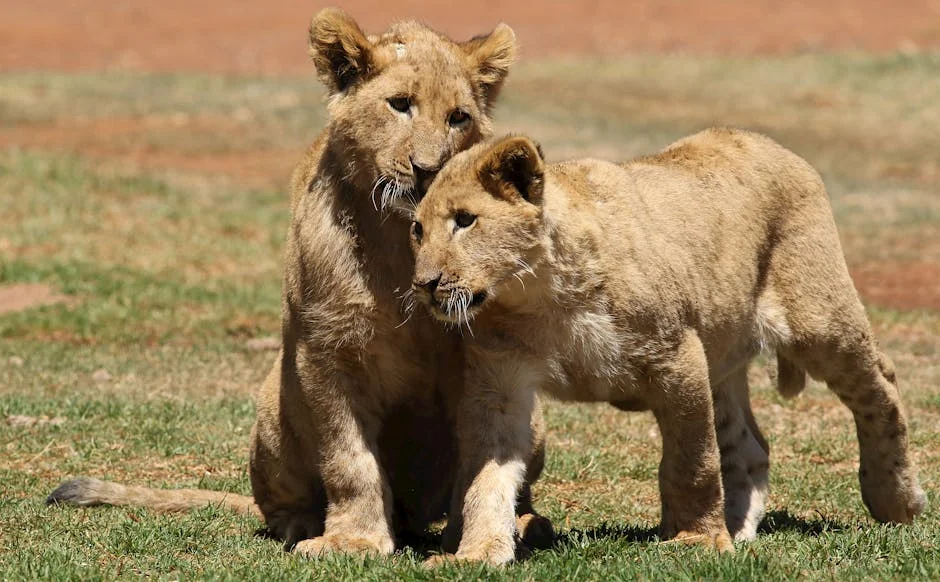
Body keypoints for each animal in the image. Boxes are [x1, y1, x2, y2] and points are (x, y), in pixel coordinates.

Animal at [46, 9, 553, 558]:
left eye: (458, 117)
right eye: (400, 104)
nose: (427, 169)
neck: (401, 238)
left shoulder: (484, 357)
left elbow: (484, 462)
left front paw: (474, 541)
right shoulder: (325, 350)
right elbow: (348, 458)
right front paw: (354, 539)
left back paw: (529, 524)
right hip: (274, 408)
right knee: (277, 503)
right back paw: (301, 526)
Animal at [408, 129, 926, 565]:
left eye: (465, 221)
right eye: (417, 230)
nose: (424, 285)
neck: (542, 296)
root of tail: (770, 143)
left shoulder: (677, 356)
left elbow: (692, 460)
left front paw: (697, 539)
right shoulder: (500, 384)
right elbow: (484, 478)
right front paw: (474, 553)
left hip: (819, 321)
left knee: (881, 384)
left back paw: (896, 499)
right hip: (724, 354)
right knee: (749, 444)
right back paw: (739, 527)